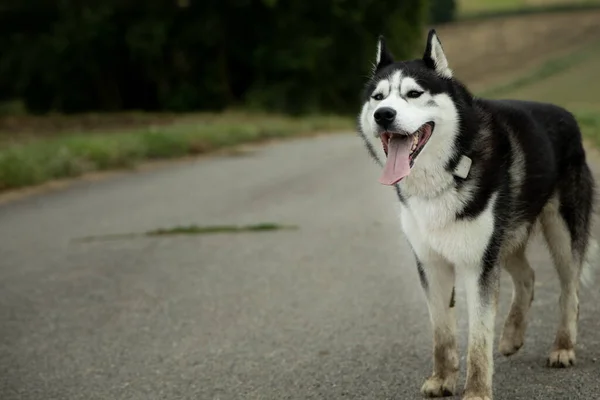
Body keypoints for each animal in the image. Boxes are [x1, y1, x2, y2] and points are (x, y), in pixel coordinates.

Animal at [356, 29, 596, 398]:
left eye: (414, 94)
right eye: (378, 96)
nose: (383, 114)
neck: (449, 168)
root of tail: (568, 115)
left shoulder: (478, 264)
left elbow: (479, 338)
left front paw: (477, 391)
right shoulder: (432, 264)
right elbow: (442, 332)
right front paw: (442, 379)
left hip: (559, 233)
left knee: (570, 290)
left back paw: (563, 347)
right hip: (506, 238)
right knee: (527, 276)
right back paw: (512, 335)